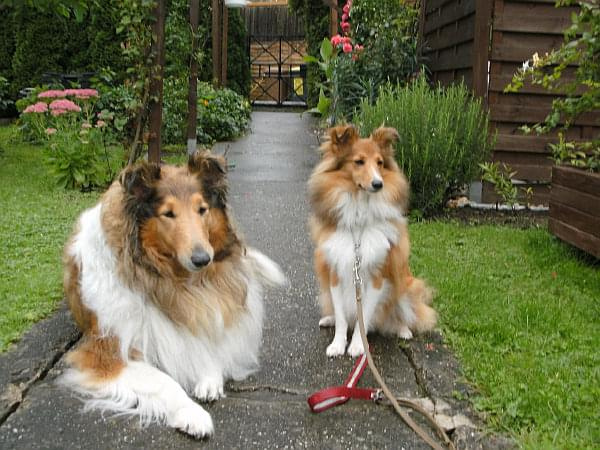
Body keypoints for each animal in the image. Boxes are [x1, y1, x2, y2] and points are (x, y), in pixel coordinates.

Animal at [61, 151, 286, 436]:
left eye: (202, 209)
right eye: (168, 213)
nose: (203, 259)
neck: (168, 280)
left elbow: (206, 339)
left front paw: (209, 376)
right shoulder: (105, 354)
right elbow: (162, 380)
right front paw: (192, 413)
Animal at [310, 126, 436, 358]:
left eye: (380, 162)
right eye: (359, 161)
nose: (378, 184)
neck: (358, 221)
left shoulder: (378, 277)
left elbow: (365, 316)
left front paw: (358, 346)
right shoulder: (335, 273)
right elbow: (341, 316)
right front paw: (337, 345)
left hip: (406, 284)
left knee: (405, 313)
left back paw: (403, 330)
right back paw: (328, 319)